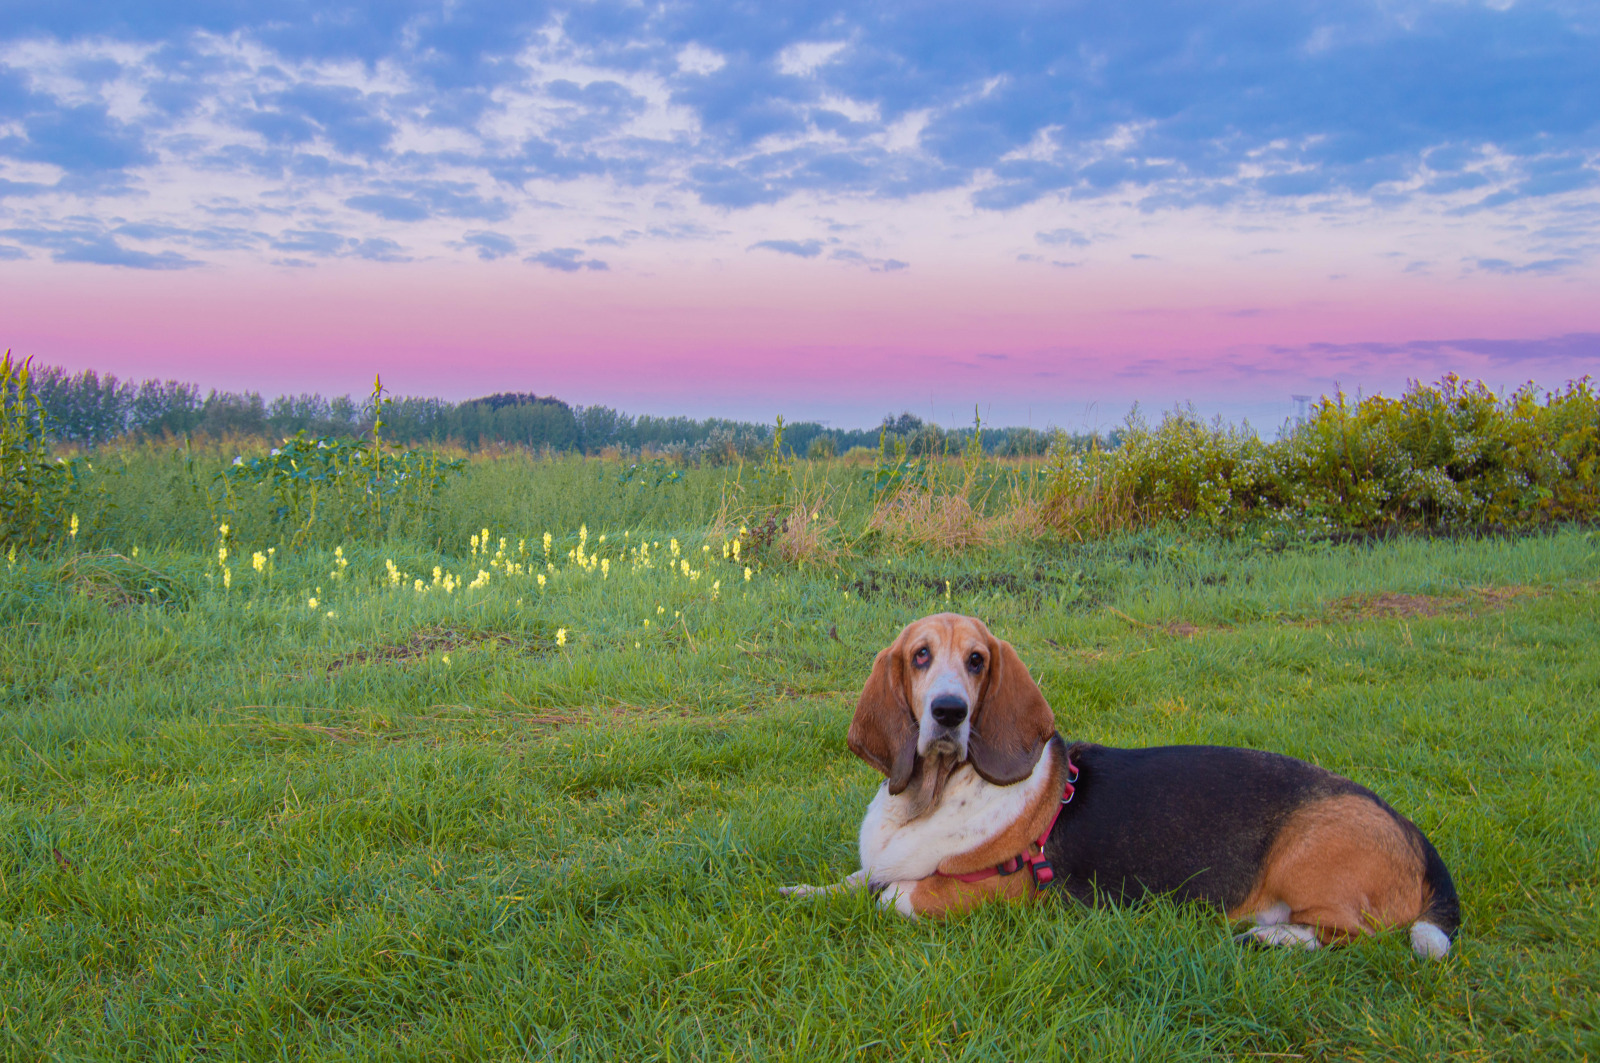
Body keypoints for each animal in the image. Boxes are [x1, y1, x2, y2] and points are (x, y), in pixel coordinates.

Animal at [777, 611, 1465, 960]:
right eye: (920, 656)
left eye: (977, 661)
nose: (949, 712)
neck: (934, 795)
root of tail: (1415, 835)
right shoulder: (877, 863)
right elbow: (851, 881)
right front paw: (801, 892)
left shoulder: (1000, 892)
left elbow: (891, 895)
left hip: (1305, 861)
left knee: (1356, 934)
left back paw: (1274, 935)